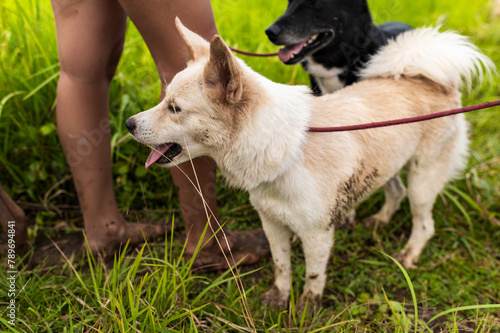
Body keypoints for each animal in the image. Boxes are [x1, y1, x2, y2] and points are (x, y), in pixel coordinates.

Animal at [127, 18, 494, 308]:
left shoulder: (316, 234)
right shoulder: (272, 225)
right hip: (389, 163)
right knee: (395, 192)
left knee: (424, 223)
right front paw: (279, 298)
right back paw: (379, 221)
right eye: (163, 99)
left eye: (175, 108)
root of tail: (425, 76)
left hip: (423, 177)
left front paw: (306, 307)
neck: (284, 146)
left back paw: (409, 254)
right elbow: (281, 266)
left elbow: (314, 275)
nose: (129, 124)